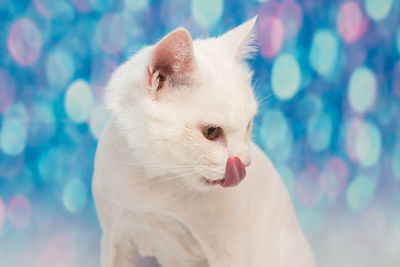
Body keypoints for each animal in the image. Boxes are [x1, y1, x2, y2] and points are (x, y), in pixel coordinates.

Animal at [94, 17, 316, 267]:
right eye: (211, 131)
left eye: (248, 124)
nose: (245, 162)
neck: (155, 181)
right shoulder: (114, 238)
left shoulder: (229, 252)